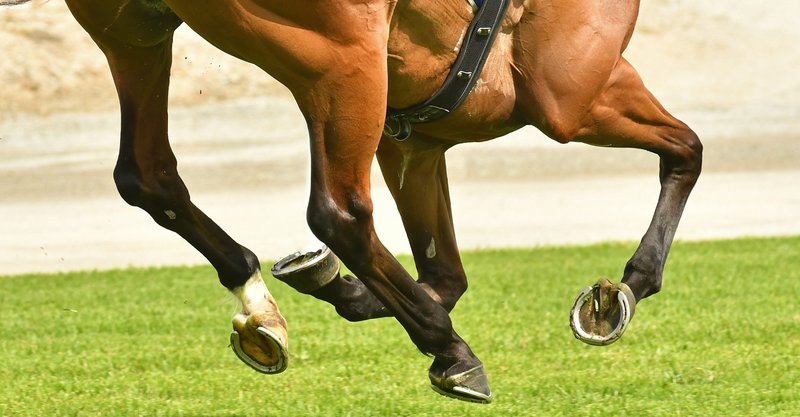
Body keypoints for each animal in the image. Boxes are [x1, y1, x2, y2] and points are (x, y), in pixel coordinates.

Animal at [2, 0, 702, 403]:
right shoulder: (573, 96)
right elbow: (688, 150)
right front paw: (627, 288)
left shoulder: (415, 141)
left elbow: (443, 272)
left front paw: (345, 292)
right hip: (343, 59)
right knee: (338, 212)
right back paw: (451, 354)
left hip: (135, 31)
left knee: (148, 176)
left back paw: (262, 306)